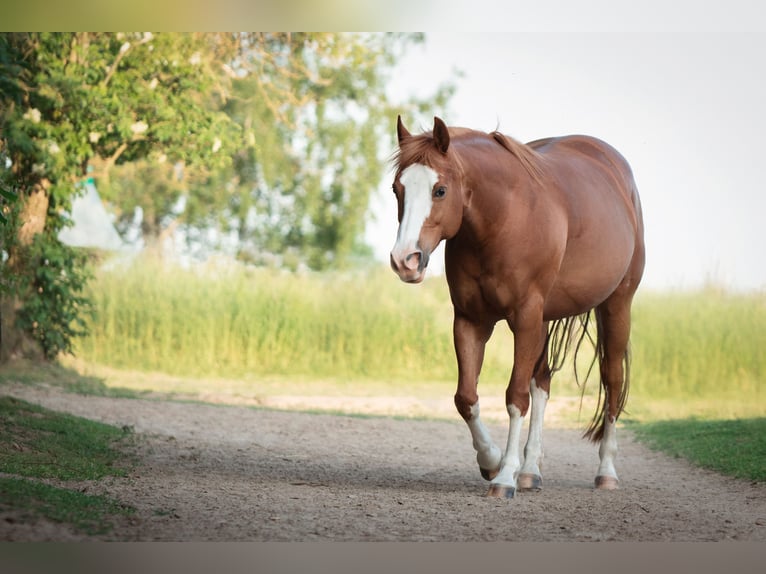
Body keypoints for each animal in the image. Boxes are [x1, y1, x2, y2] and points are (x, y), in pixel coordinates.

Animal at [392, 117, 644, 500]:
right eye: (397, 189)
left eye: (440, 190)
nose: (405, 260)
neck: (502, 220)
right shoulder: (470, 321)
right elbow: (466, 397)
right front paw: (492, 461)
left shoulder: (524, 320)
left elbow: (515, 397)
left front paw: (504, 476)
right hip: (545, 321)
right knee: (542, 383)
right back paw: (530, 471)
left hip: (615, 307)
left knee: (612, 382)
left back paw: (606, 472)